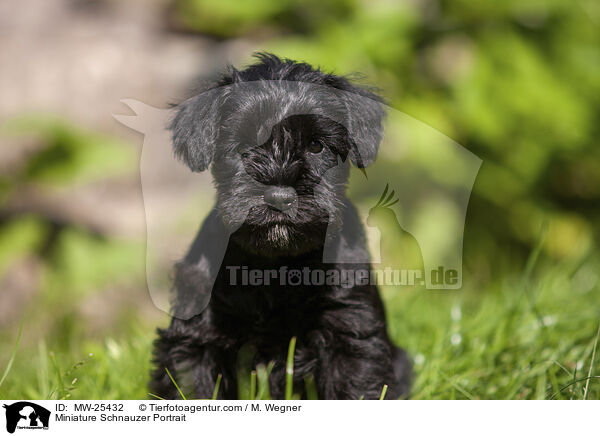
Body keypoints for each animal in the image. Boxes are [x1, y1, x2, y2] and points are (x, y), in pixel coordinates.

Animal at [150, 52, 412, 400]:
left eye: (316, 146)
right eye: (243, 146)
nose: (279, 197)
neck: (277, 267)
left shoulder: (349, 324)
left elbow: (355, 384)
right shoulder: (197, 330)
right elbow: (193, 386)